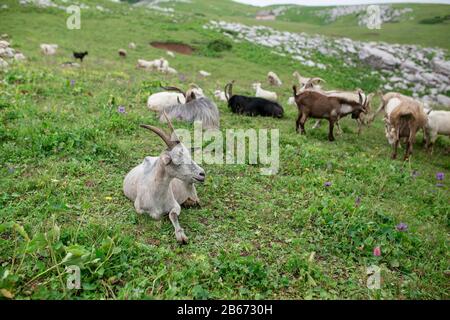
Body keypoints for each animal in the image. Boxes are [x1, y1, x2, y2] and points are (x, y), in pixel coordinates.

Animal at [124, 114, 207, 244]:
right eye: (177, 159)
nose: (202, 174)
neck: (157, 196)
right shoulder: (139, 208)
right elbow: (155, 215)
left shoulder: (175, 205)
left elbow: (172, 215)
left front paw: (181, 236)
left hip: (190, 184)